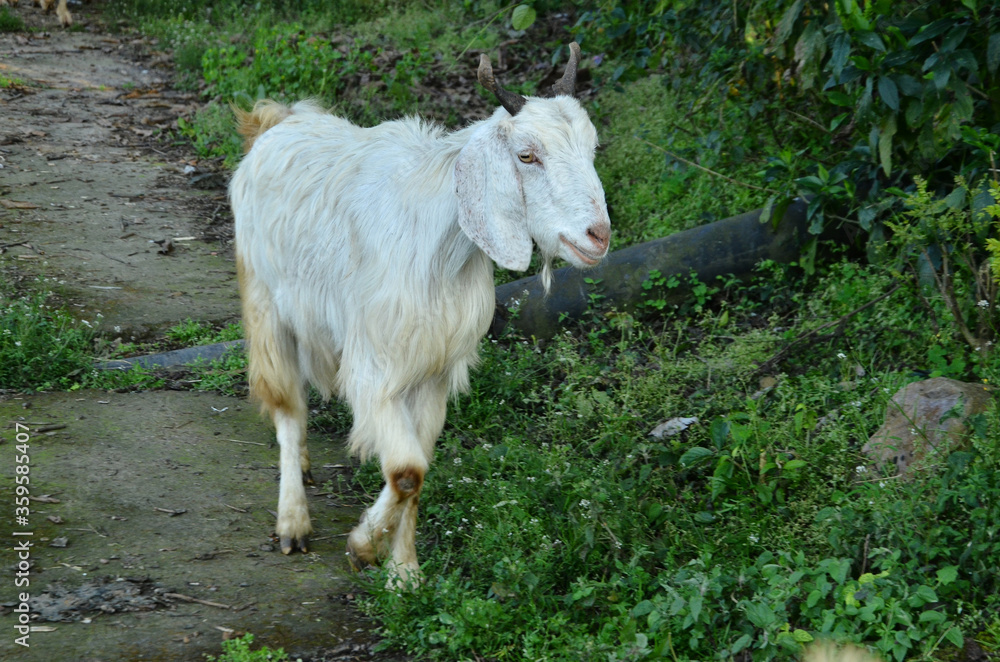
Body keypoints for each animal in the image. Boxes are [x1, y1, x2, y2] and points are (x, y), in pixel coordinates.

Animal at [229, 43, 611, 586]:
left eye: (593, 148)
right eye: (527, 155)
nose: (598, 236)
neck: (442, 247)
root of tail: (276, 122)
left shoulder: (434, 371)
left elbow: (419, 469)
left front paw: (403, 572)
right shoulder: (375, 369)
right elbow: (407, 469)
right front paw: (362, 547)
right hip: (265, 302)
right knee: (286, 406)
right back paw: (293, 522)